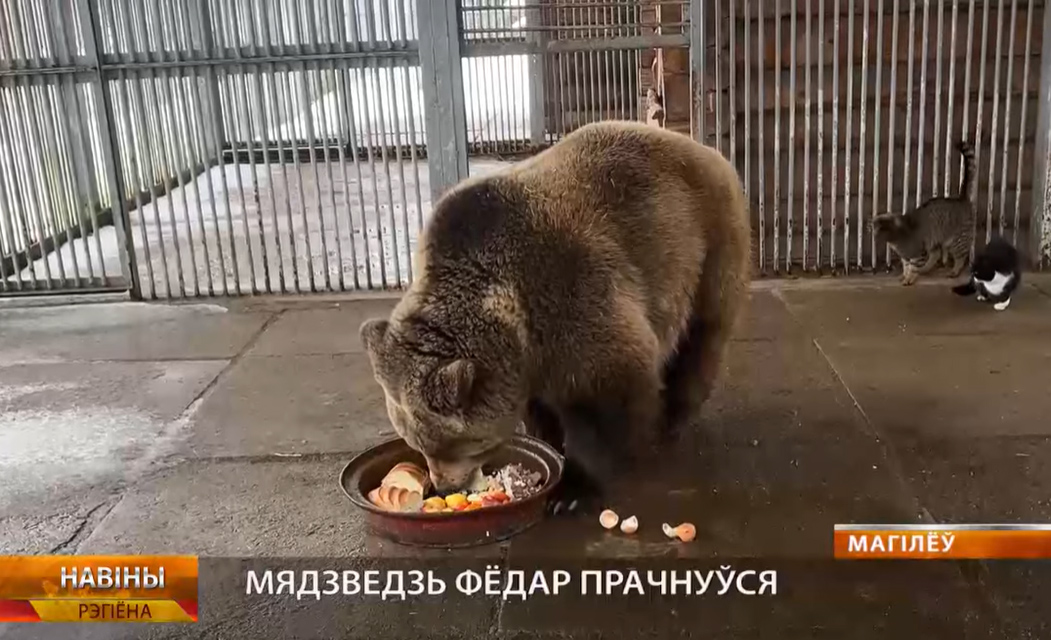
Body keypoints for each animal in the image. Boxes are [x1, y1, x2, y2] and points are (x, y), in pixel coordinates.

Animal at [359, 120, 752, 514]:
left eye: (450, 444)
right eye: (415, 442)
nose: (442, 484)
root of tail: (703, 149)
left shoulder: (571, 299)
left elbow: (603, 395)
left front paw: (572, 489)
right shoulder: (527, 359)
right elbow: (537, 404)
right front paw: (546, 436)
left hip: (703, 245)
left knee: (700, 337)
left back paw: (671, 419)